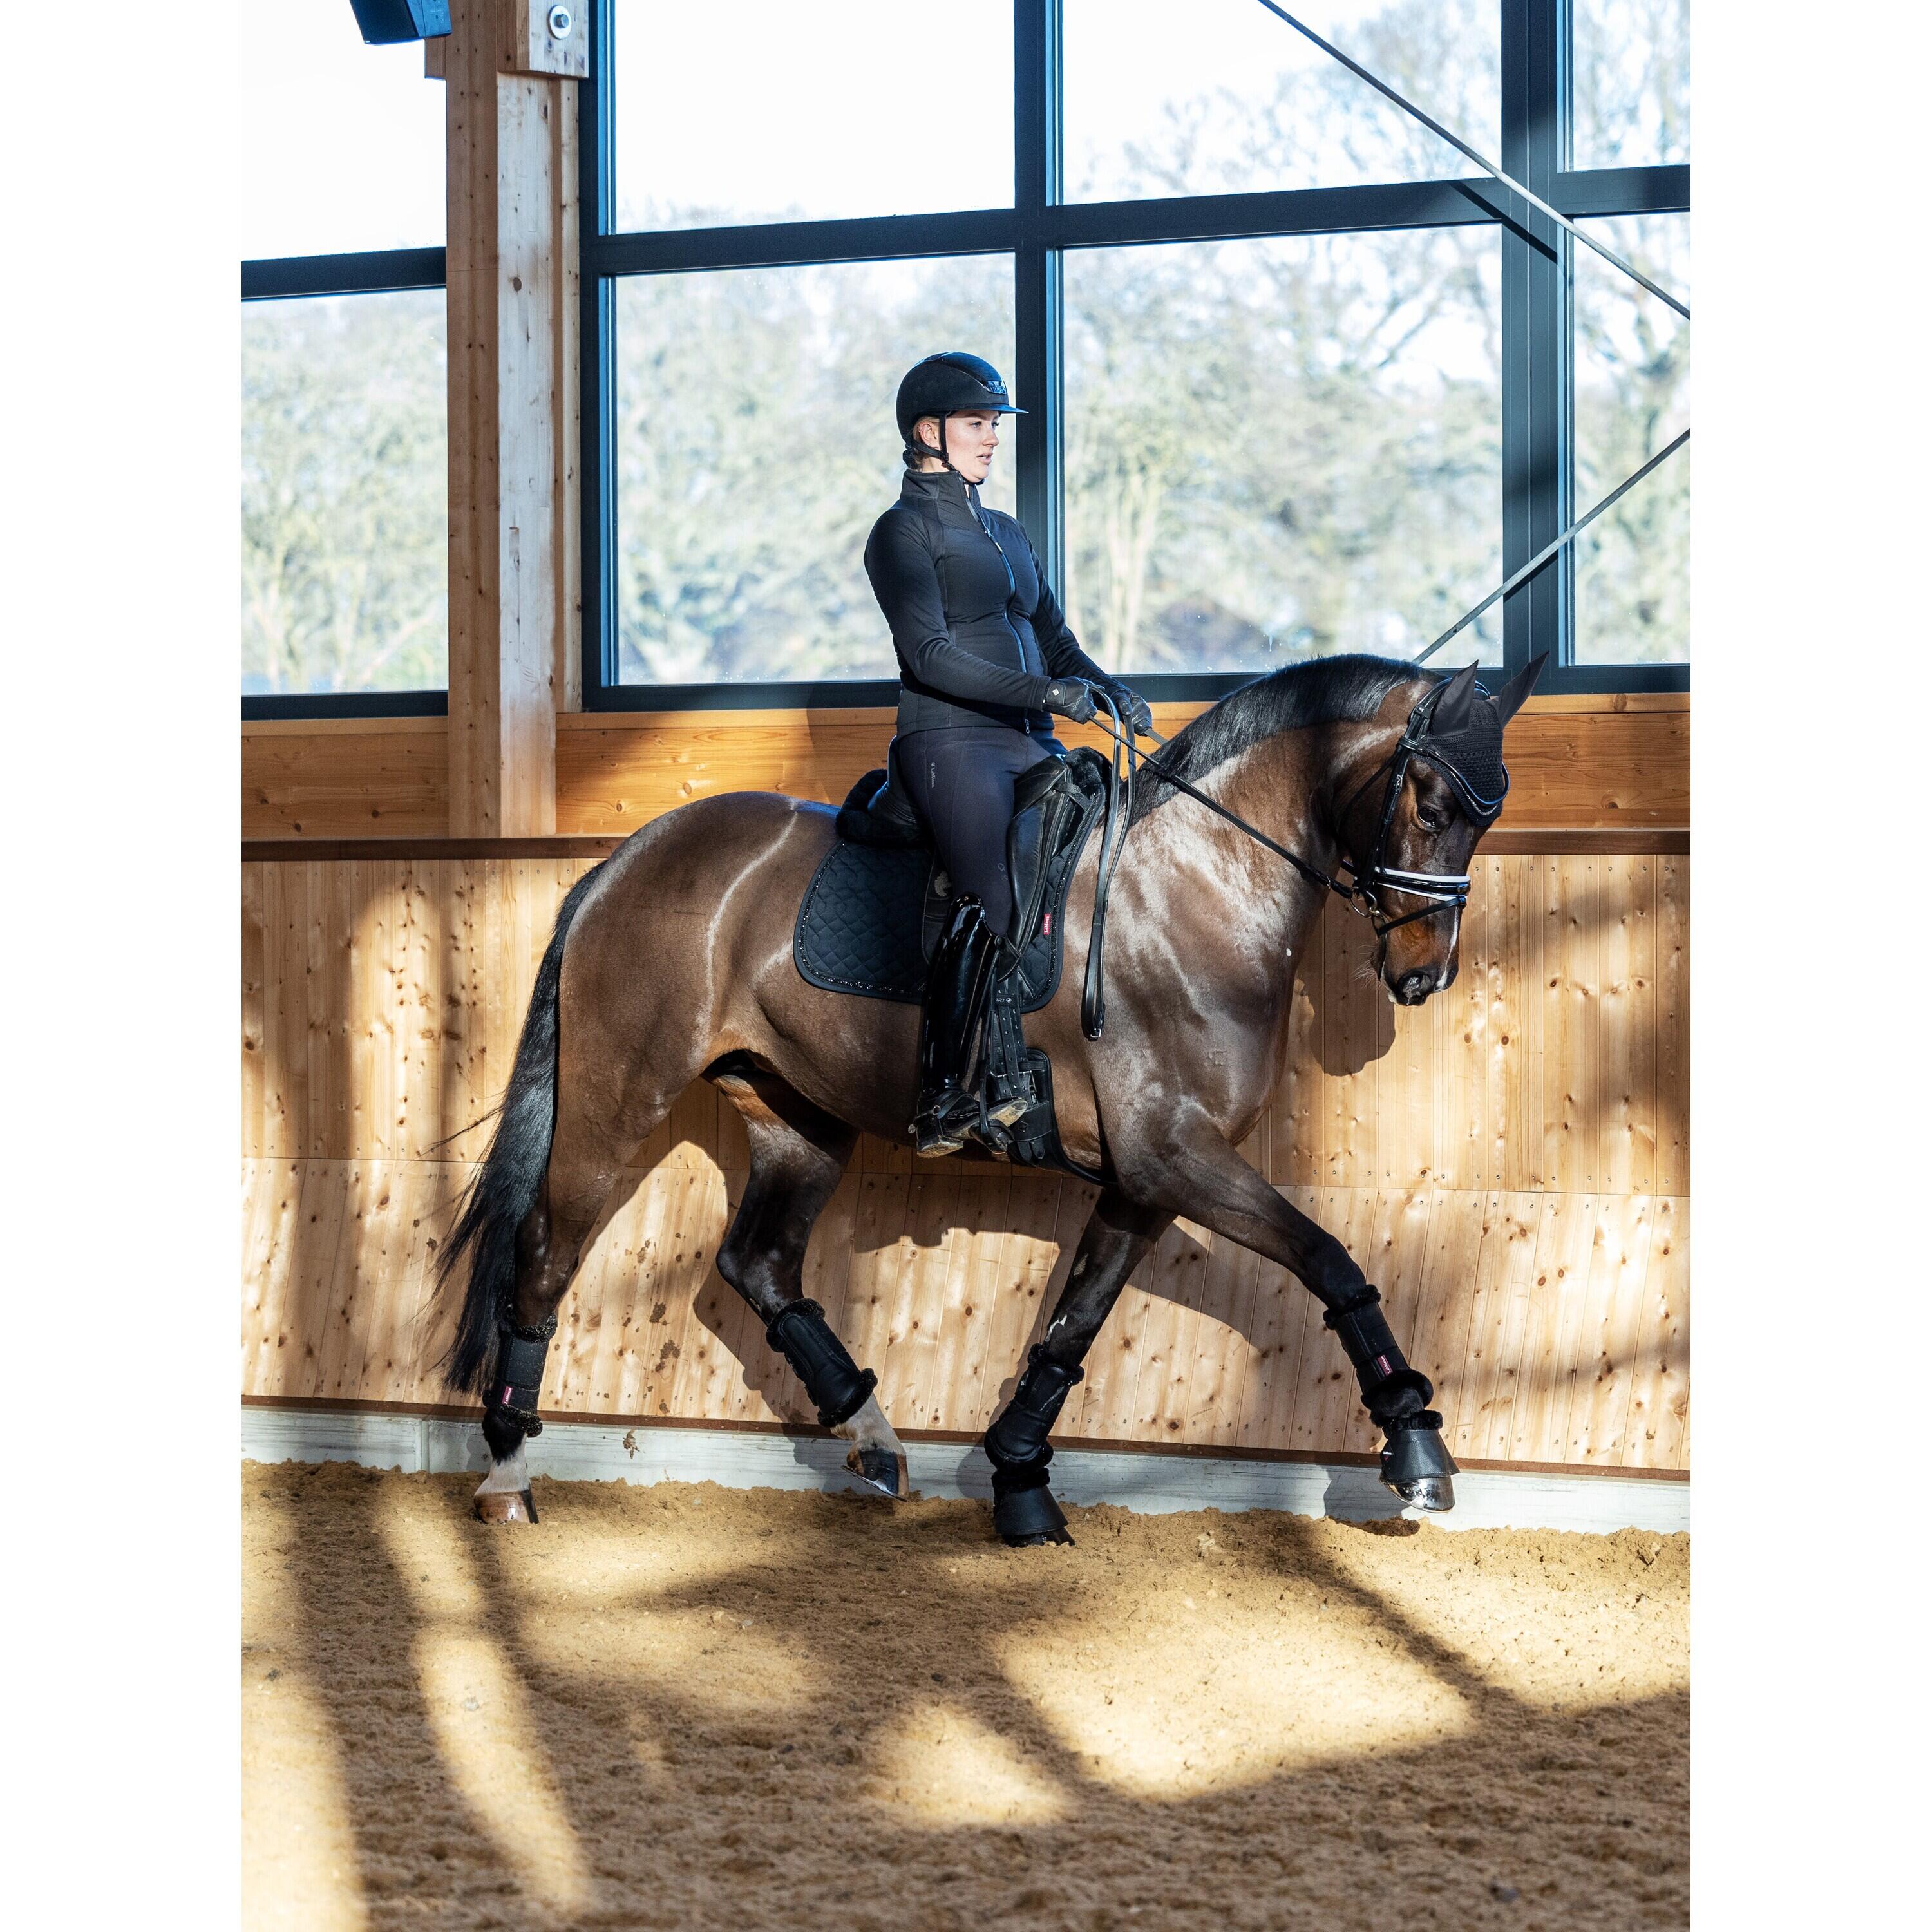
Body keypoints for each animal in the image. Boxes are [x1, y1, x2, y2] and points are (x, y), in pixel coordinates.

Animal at [437, 651, 1544, 1544]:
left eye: (1491, 813)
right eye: (1432, 805)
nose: (1423, 972)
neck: (1194, 886)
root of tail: (627, 859)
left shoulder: (1145, 1177)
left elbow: (1073, 1327)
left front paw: (1018, 1482)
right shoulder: (1175, 1156)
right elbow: (1329, 1260)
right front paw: (1417, 1451)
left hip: (799, 1117)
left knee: (757, 1264)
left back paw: (874, 1438)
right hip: (617, 1099)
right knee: (547, 1254)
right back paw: (506, 1473)